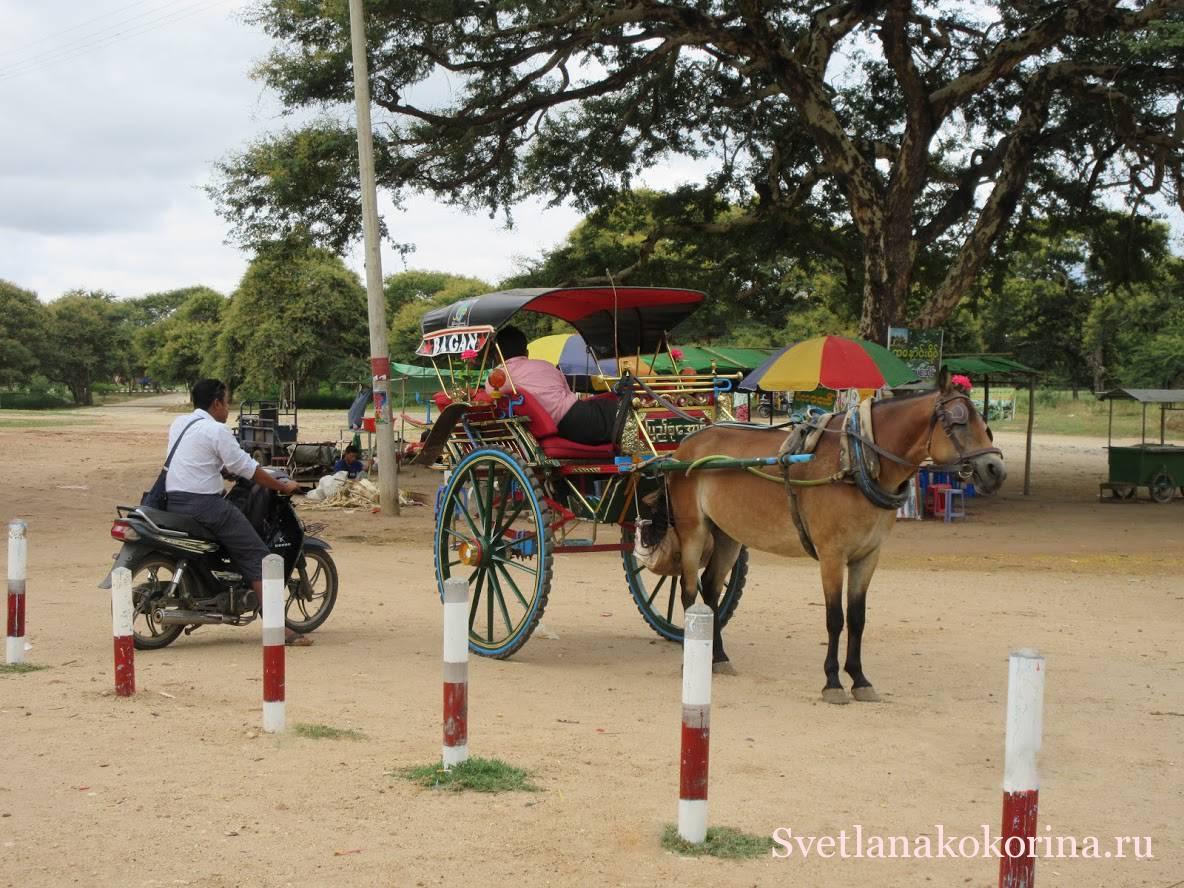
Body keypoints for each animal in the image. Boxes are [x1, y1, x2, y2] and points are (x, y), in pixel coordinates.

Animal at [663, 371, 1004, 705]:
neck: (855, 461)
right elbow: (835, 618)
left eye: (984, 423)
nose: (995, 470)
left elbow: (857, 617)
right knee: (690, 592)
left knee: (710, 590)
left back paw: (717, 656)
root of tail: (686, 445)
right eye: (958, 422)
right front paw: (832, 682)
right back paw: (689, 654)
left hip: (728, 534)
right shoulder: (831, 555)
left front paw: (860, 679)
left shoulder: (867, 556)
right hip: (693, 531)